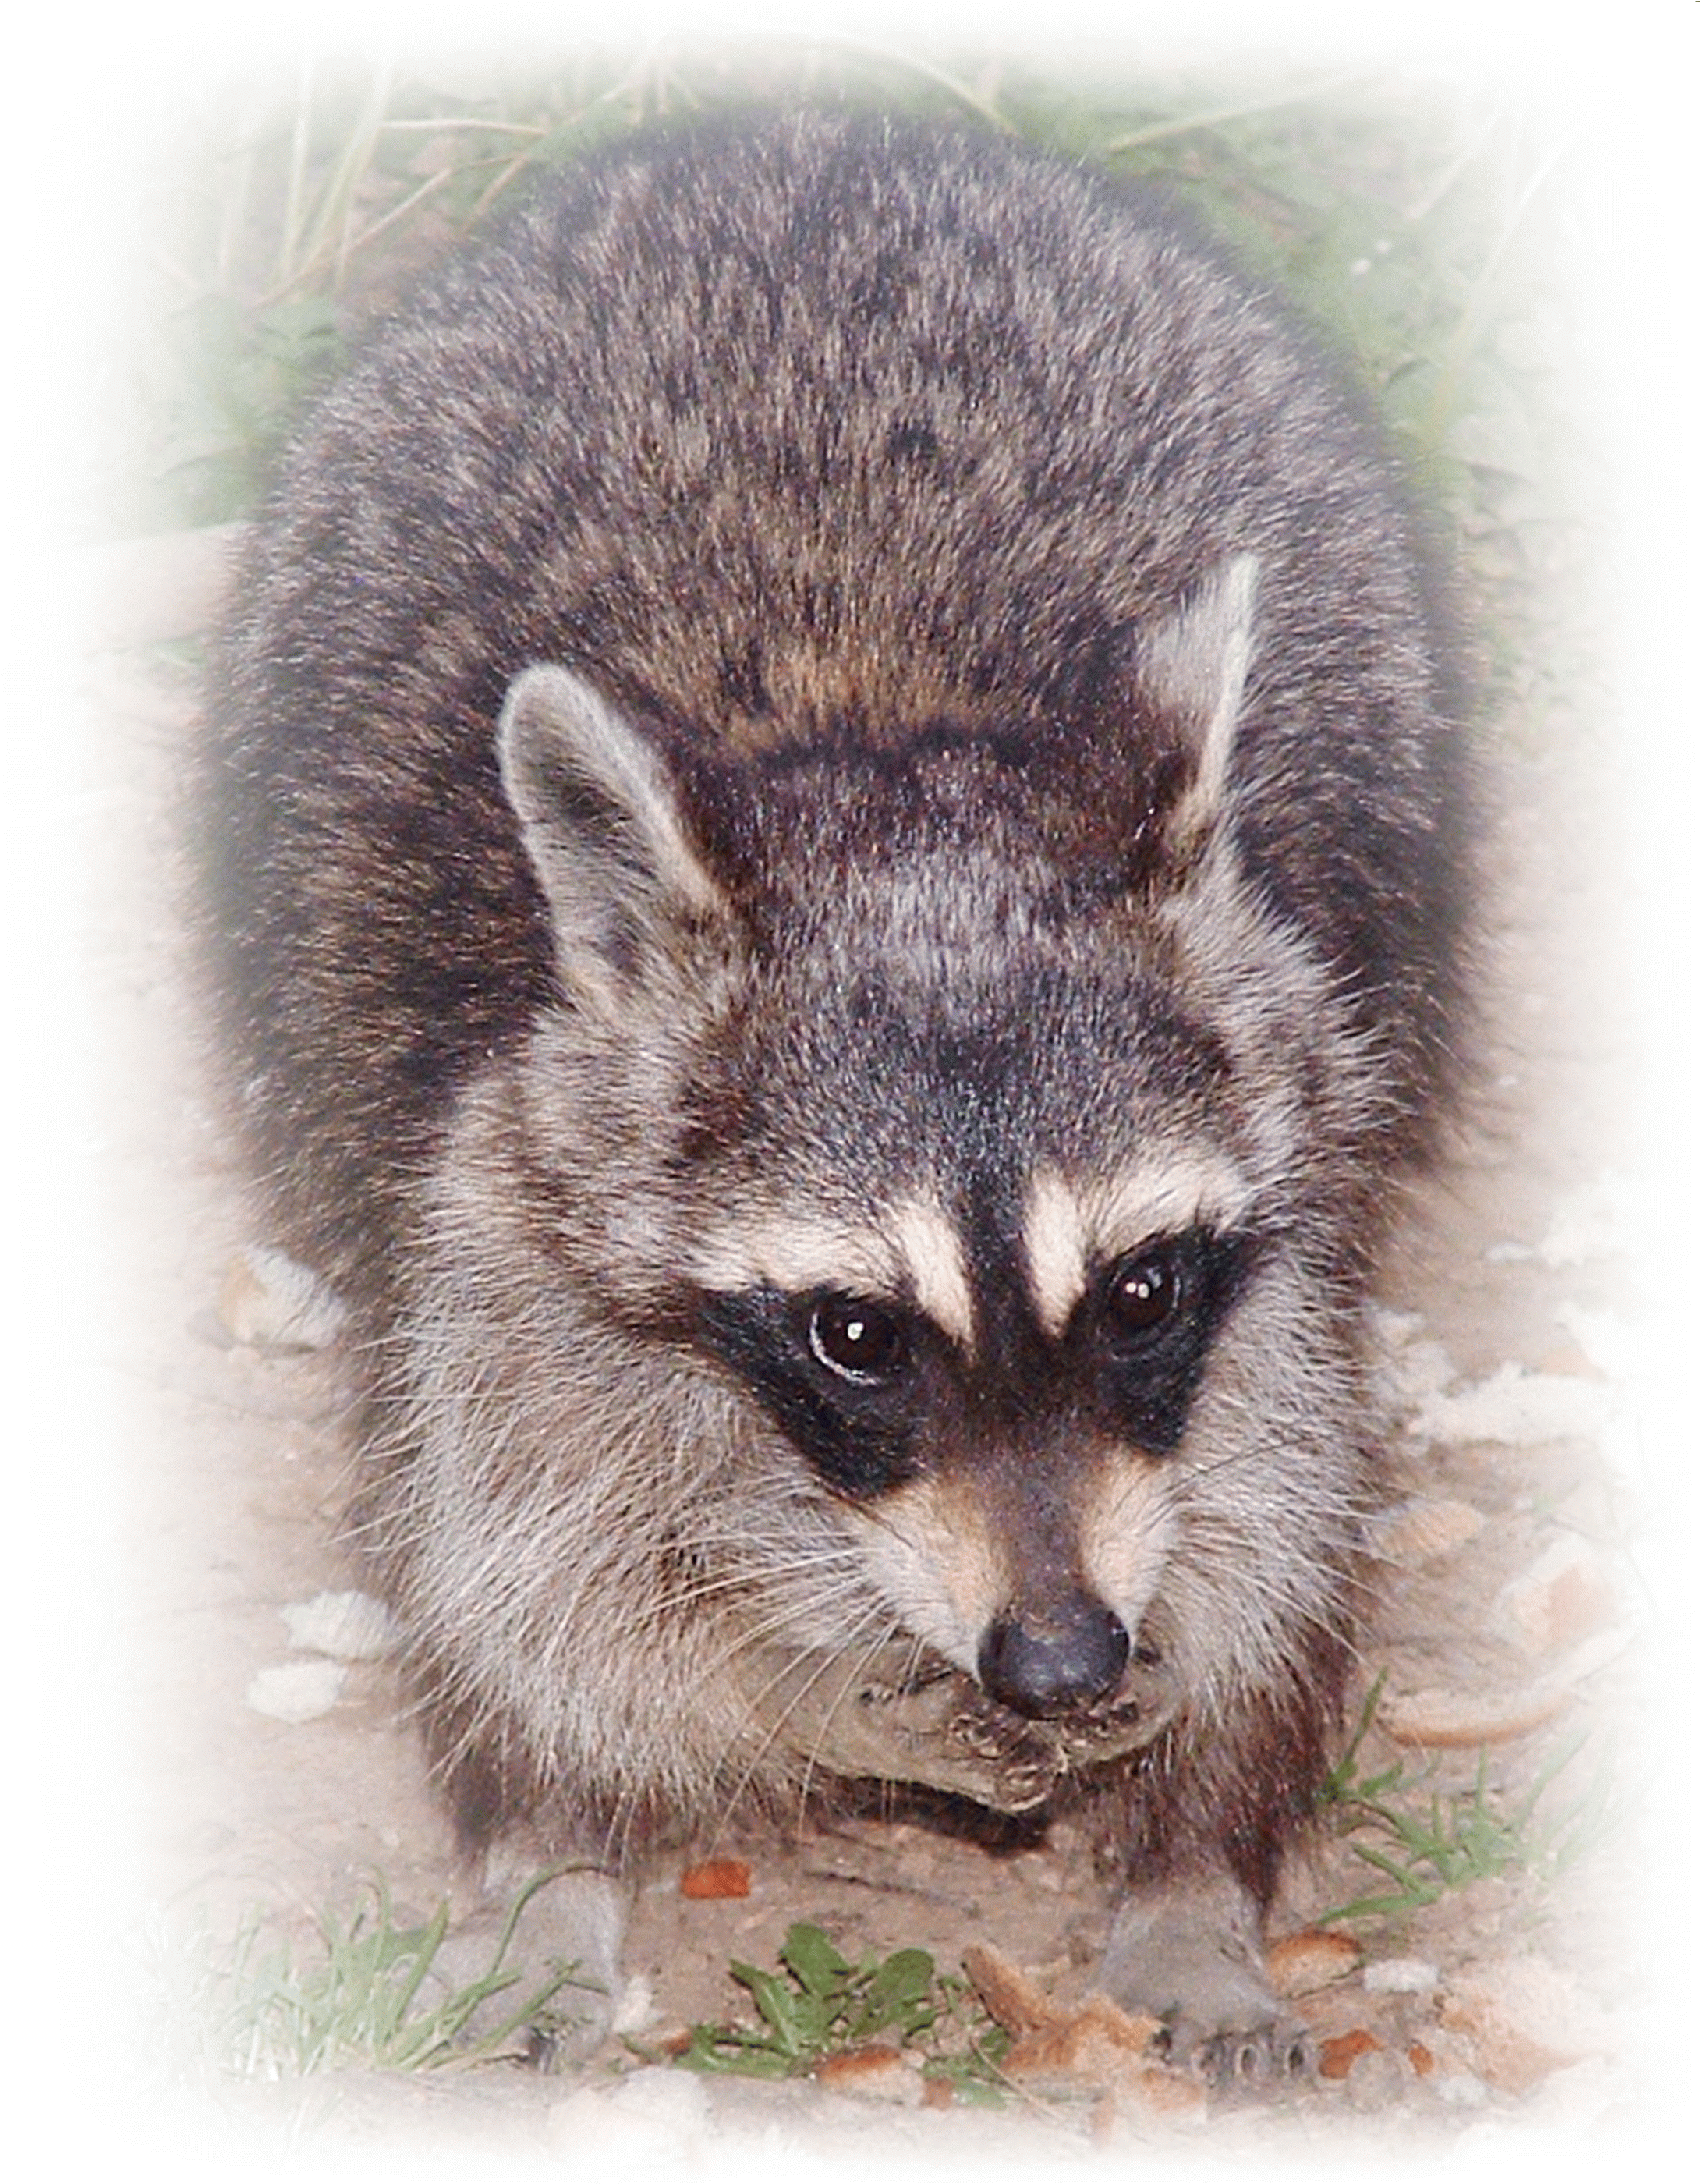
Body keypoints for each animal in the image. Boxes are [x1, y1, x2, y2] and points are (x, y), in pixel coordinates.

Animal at [207, 110, 1467, 2078]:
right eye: (855, 1335)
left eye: (1139, 1290)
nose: (1060, 1658)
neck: (883, 743)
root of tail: (806, 130)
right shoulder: (488, 1189)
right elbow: (537, 1572)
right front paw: (707, 1735)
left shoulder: (1293, 1169)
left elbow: (1275, 1519)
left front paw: (1197, 1844)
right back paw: (555, 1855)